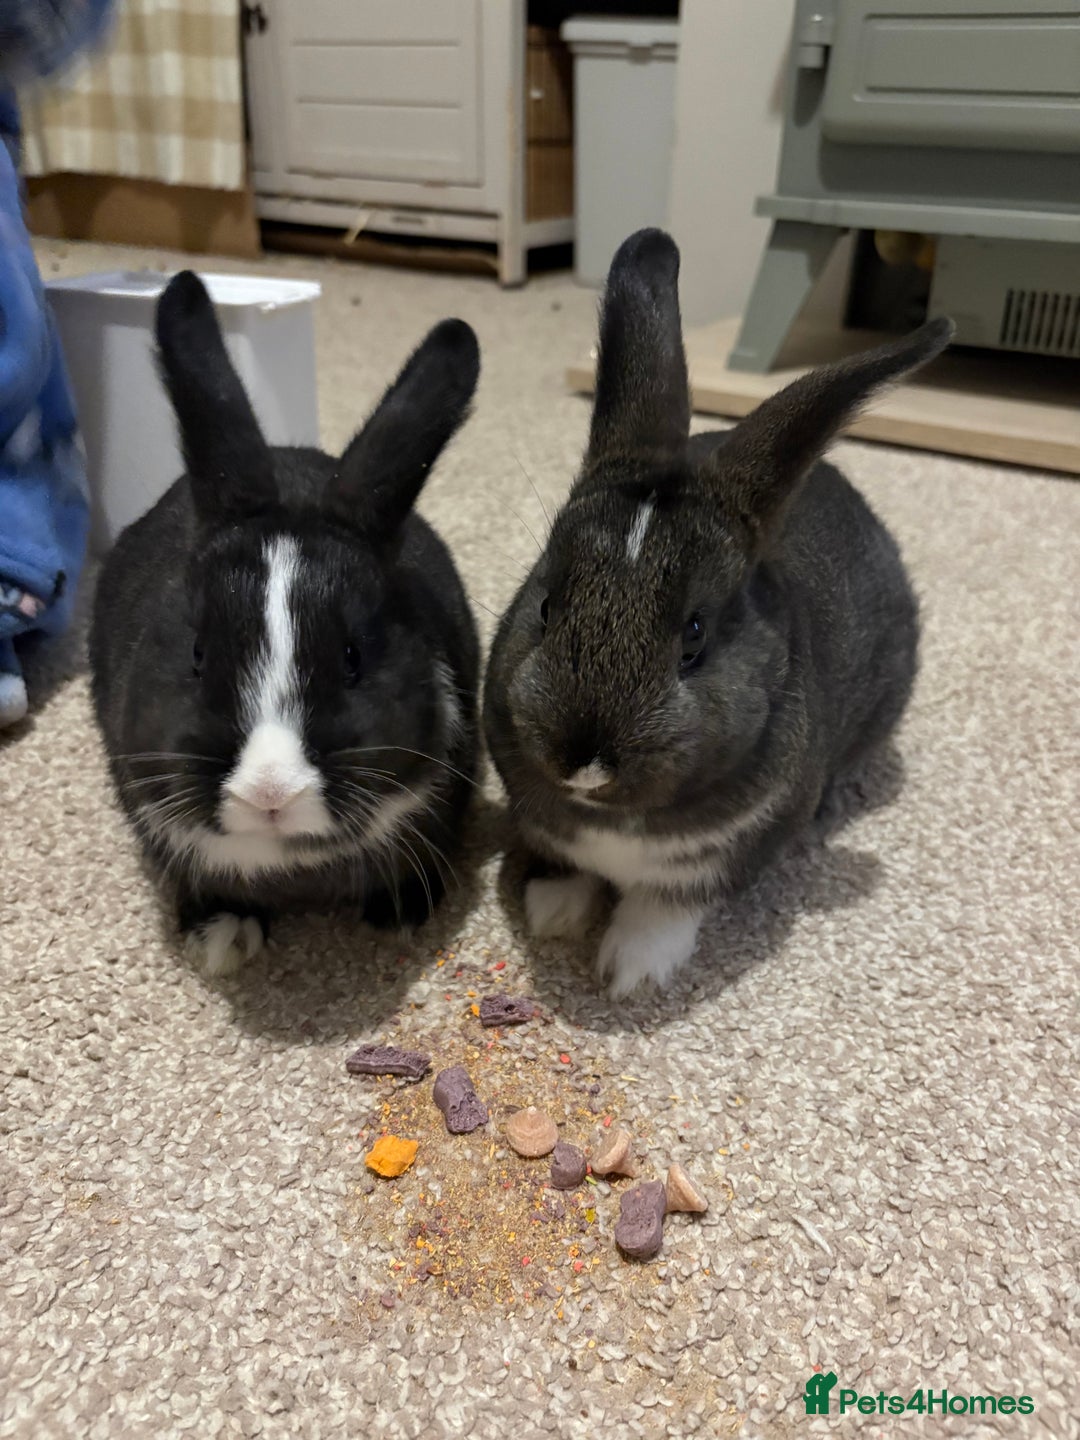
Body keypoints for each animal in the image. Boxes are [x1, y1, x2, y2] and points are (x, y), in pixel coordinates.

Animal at [484, 228, 953, 999]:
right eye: (546, 605)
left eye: (695, 636)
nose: (585, 764)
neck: (612, 819)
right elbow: (569, 865)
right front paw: (553, 915)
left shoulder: (731, 854)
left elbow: (666, 904)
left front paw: (631, 973)